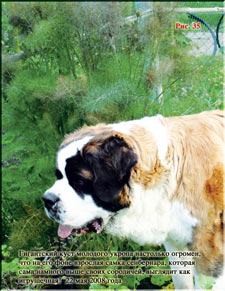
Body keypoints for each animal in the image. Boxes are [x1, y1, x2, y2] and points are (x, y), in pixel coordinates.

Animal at [42, 110, 223, 290]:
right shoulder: (175, 242)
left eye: (79, 181)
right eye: (58, 175)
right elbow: (181, 281)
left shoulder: (209, 254)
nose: (47, 200)